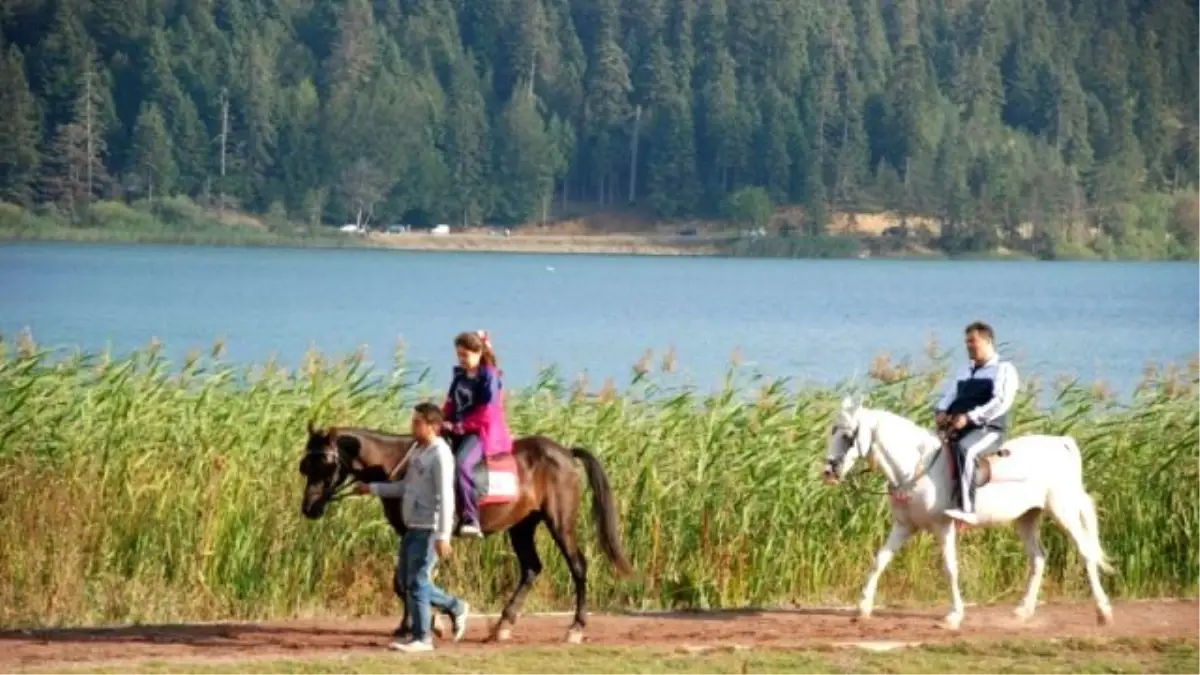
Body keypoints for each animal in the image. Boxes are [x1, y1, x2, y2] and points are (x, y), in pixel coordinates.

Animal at [296, 420, 633, 638]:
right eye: (305, 466)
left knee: (577, 566)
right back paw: (503, 625)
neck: (403, 465)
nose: (309, 508)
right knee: (531, 568)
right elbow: (404, 582)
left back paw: (576, 626)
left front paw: (431, 622)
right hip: (522, 526)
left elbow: (410, 581)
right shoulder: (408, 533)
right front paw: (418, 623)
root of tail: (563, 451)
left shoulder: (423, 533)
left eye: (326, 464)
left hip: (560, 522)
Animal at [825, 391, 1113, 629]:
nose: (828, 472)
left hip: (1063, 511)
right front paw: (862, 608)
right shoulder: (904, 526)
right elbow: (879, 560)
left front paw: (954, 616)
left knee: (1086, 552)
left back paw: (1103, 612)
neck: (918, 468)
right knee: (1039, 558)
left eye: (848, 436)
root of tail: (1062, 443)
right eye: (833, 431)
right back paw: (1023, 611)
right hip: (1027, 517)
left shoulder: (943, 527)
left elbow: (950, 568)